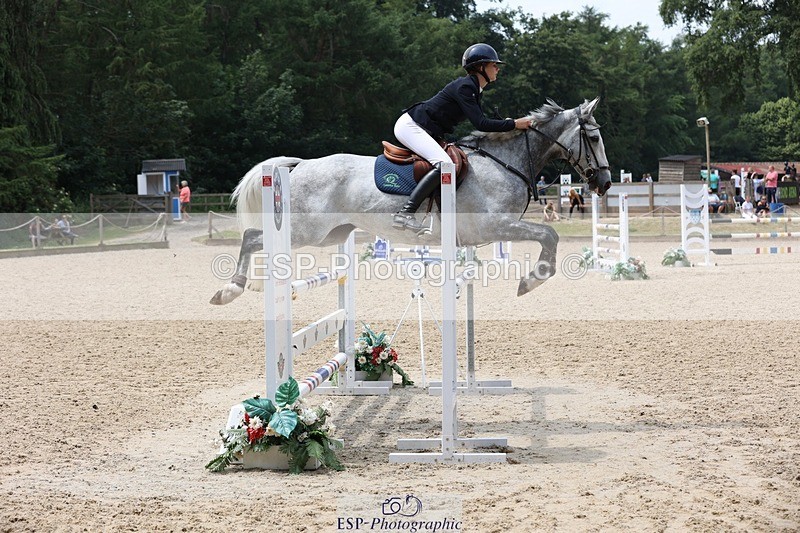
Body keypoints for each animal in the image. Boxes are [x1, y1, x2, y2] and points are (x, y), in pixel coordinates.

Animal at [210, 97, 612, 305]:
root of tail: (301, 165)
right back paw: (230, 289)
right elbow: (549, 235)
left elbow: (548, 236)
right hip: (305, 231)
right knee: (253, 238)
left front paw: (532, 279)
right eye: (593, 137)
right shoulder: (495, 225)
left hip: (328, 235)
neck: (504, 160)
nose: (605, 182)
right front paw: (532, 280)